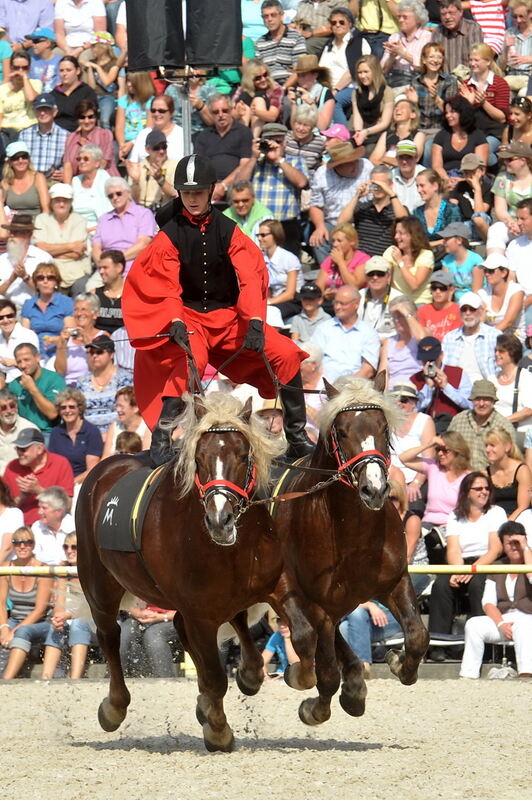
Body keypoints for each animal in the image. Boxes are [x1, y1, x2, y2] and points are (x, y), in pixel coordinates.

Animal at [75, 396, 316, 752]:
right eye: (199, 459)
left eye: (242, 455)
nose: (220, 519)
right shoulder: (198, 612)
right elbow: (215, 675)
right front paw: (218, 730)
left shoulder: (276, 584)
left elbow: (303, 635)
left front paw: (292, 676)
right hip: (99, 586)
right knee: (110, 636)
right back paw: (114, 707)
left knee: (220, 624)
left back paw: (246, 676)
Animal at [272, 376, 430, 724]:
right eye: (342, 431)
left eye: (383, 427)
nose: (374, 489)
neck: (353, 532)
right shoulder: (316, 603)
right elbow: (327, 671)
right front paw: (315, 708)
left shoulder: (395, 582)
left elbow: (417, 636)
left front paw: (398, 663)